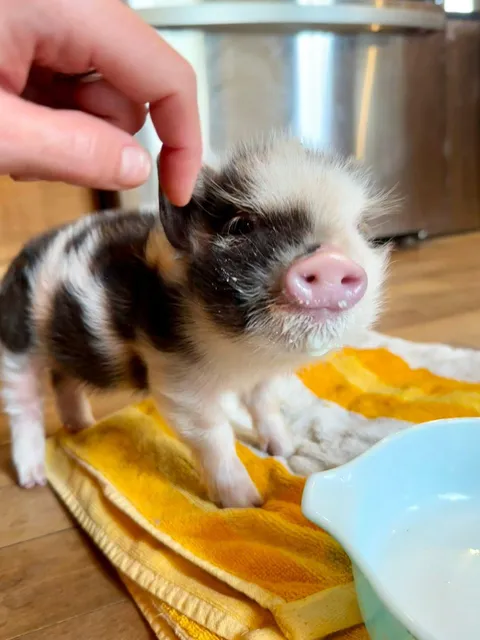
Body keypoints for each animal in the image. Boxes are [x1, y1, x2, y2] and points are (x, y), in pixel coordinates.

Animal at [0, 134, 389, 508]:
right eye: (241, 225)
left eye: (359, 228)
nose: (331, 261)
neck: (242, 356)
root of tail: (19, 260)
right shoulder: (177, 377)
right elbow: (213, 434)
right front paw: (246, 503)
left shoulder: (261, 379)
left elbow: (265, 406)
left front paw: (285, 449)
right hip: (16, 348)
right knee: (24, 408)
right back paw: (33, 478)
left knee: (64, 381)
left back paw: (82, 427)